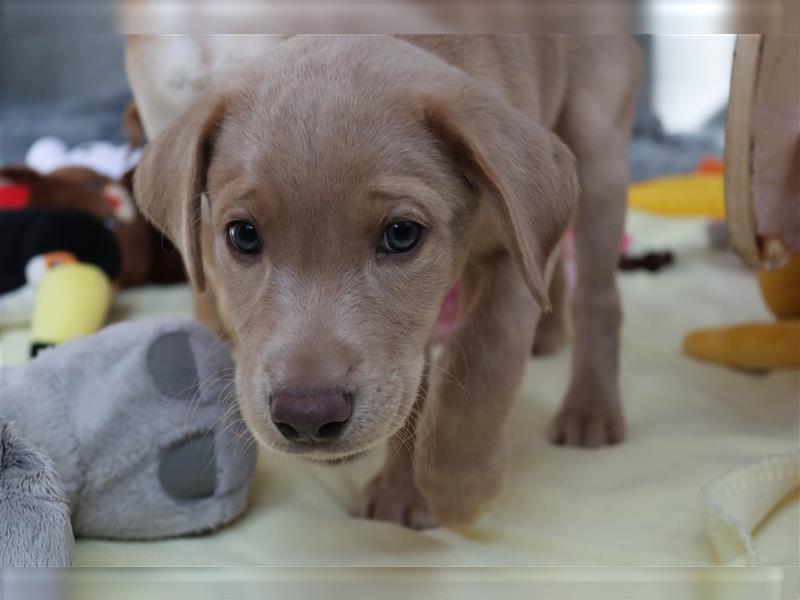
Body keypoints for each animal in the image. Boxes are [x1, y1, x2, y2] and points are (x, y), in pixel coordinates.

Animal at [133, 35, 644, 528]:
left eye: (401, 234)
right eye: (243, 234)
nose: (307, 417)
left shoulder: (513, 246)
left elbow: (484, 353)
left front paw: (458, 483)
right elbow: (416, 386)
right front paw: (403, 490)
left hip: (596, 147)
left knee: (598, 296)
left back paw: (591, 408)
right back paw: (549, 332)